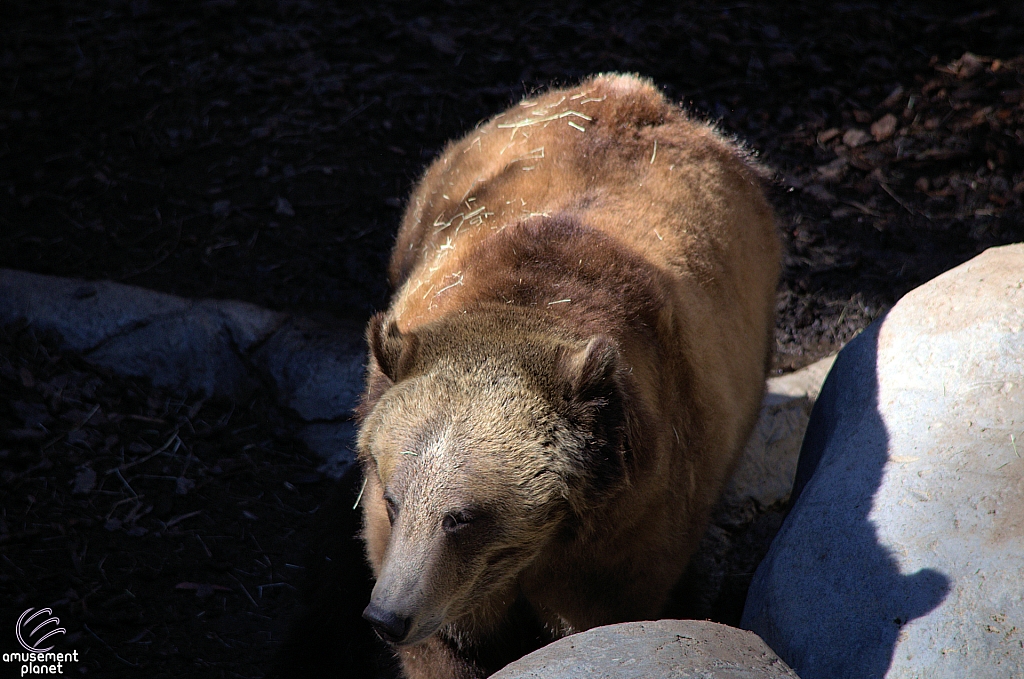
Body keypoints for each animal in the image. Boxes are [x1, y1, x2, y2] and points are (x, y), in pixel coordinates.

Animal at [356, 74, 778, 679]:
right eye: (393, 498)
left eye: (461, 517)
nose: (387, 616)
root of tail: (633, 91)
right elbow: (444, 648)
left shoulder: (629, 525)